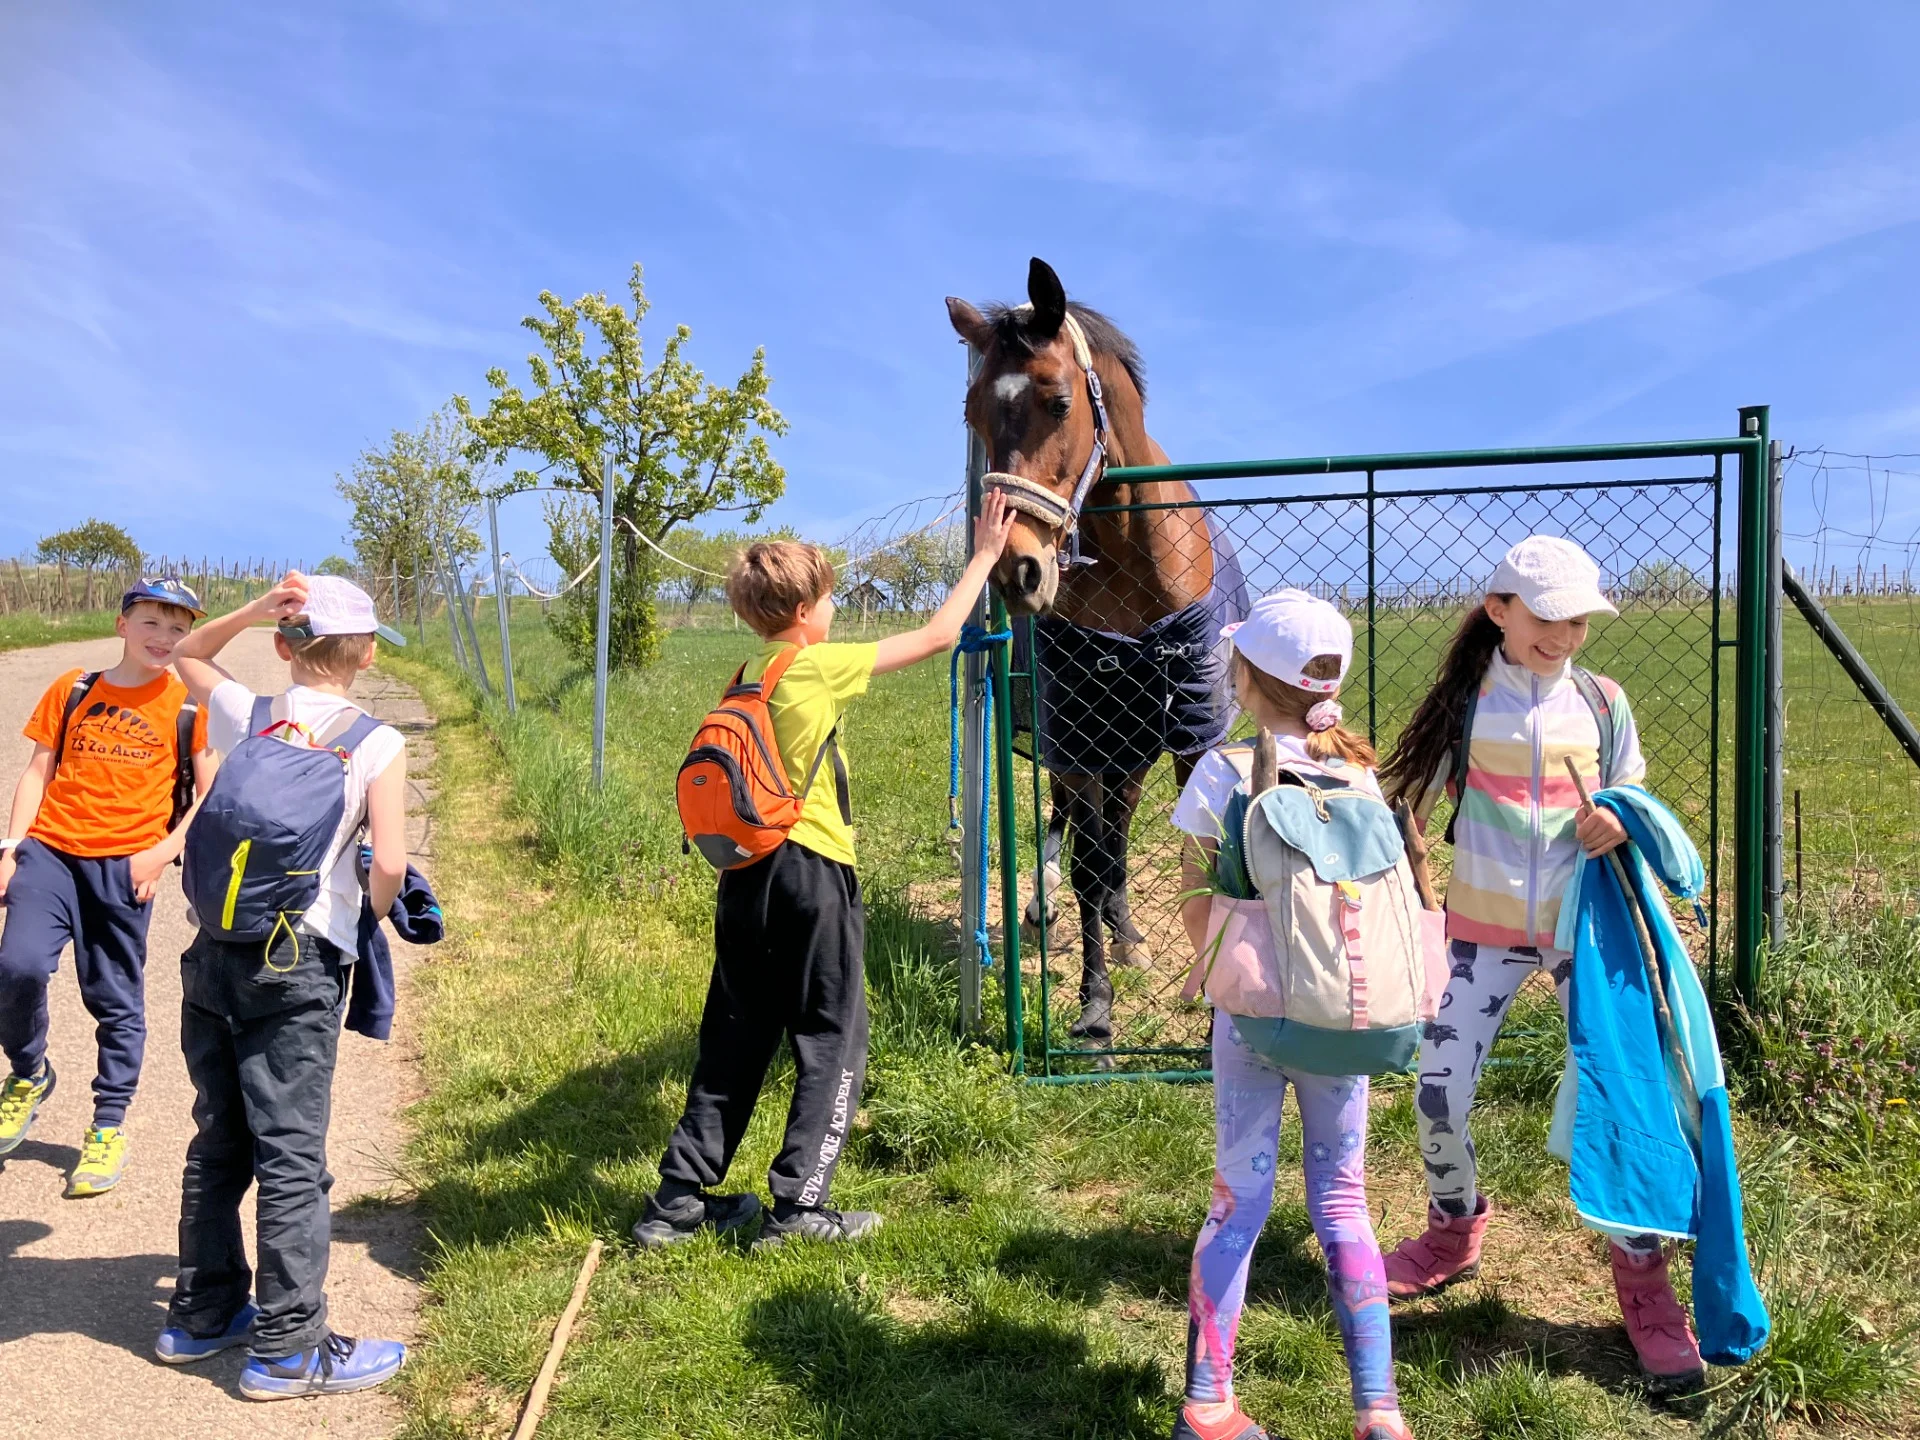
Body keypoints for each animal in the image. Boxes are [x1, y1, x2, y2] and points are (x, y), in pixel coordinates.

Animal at [946, 257, 1243, 1045]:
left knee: (1120, 827)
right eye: (973, 413)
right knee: (1092, 839)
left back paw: (1128, 931)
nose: (1016, 570)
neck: (1126, 553)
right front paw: (1095, 1007)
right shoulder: (1077, 737)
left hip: (1136, 744)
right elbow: (1085, 863)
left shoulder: (1191, 732)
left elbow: (1193, 860)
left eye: (1057, 401)